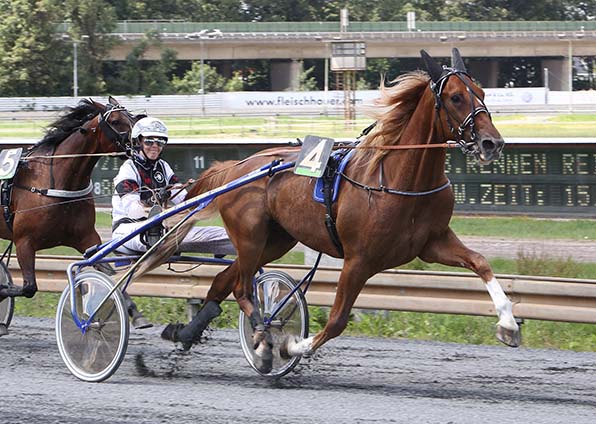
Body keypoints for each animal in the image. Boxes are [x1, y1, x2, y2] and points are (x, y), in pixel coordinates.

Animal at [0, 97, 135, 302]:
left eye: (131, 117)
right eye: (115, 121)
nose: (141, 140)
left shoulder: (87, 238)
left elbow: (110, 275)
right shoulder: (24, 241)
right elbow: (28, 288)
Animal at [161, 49, 520, 372]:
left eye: (482, 93)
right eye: (456, 97)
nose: (492, 143)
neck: (397, 180)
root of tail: (237, 167)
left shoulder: (432, 243)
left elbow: (480, 262)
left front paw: (508, 324)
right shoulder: (358, 260)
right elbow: (336, 321)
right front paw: (291, 345)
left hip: (274, 241)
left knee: (225, 279)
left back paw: (187, 333)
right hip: (250, 237)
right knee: (241, 288)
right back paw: (263, 337)